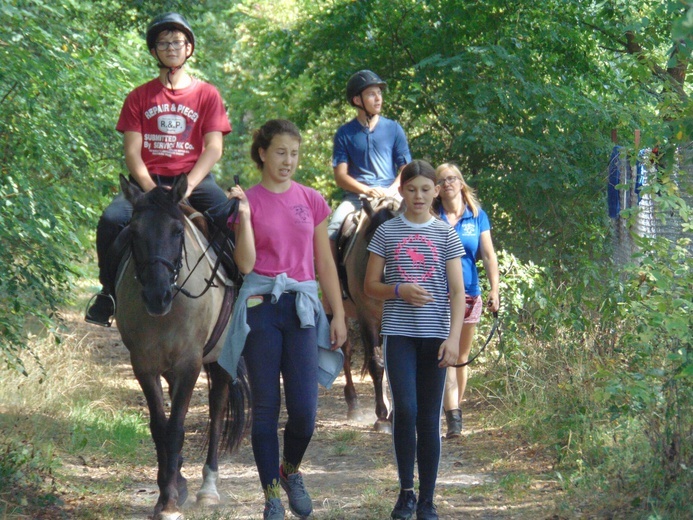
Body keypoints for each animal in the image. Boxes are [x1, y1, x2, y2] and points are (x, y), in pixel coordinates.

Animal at [115, 173, 250, 516]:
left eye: (177, 232)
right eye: (133, 232)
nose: (156, 296)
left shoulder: (190, 363)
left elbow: (176, 427)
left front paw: (170, 503)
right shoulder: (144, 365)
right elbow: (160, 428)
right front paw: (168, 492)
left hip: (220, 358)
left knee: (217, 408)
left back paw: (208, 487)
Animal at [336, 195, 400, 430]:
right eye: (374, 240)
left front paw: (392, 414)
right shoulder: (367, 318)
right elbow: (376, 363)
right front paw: (382, 416)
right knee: (345, 350)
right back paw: (353, 405)